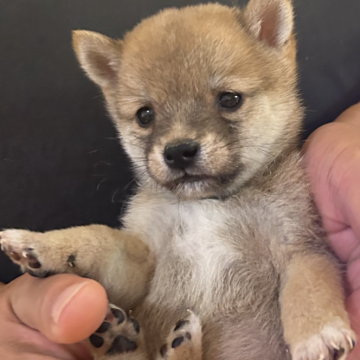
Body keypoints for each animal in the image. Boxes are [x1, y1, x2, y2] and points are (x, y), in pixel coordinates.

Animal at [0, 0, 356, 360]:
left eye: (229, 99)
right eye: (145, 115)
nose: (178, 151)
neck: (209, 203)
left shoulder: (299, 246)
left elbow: (309, 288)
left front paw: (318, 336)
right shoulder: (142, 262)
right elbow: (97, 239)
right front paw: (43, 245)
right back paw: (126, 341)